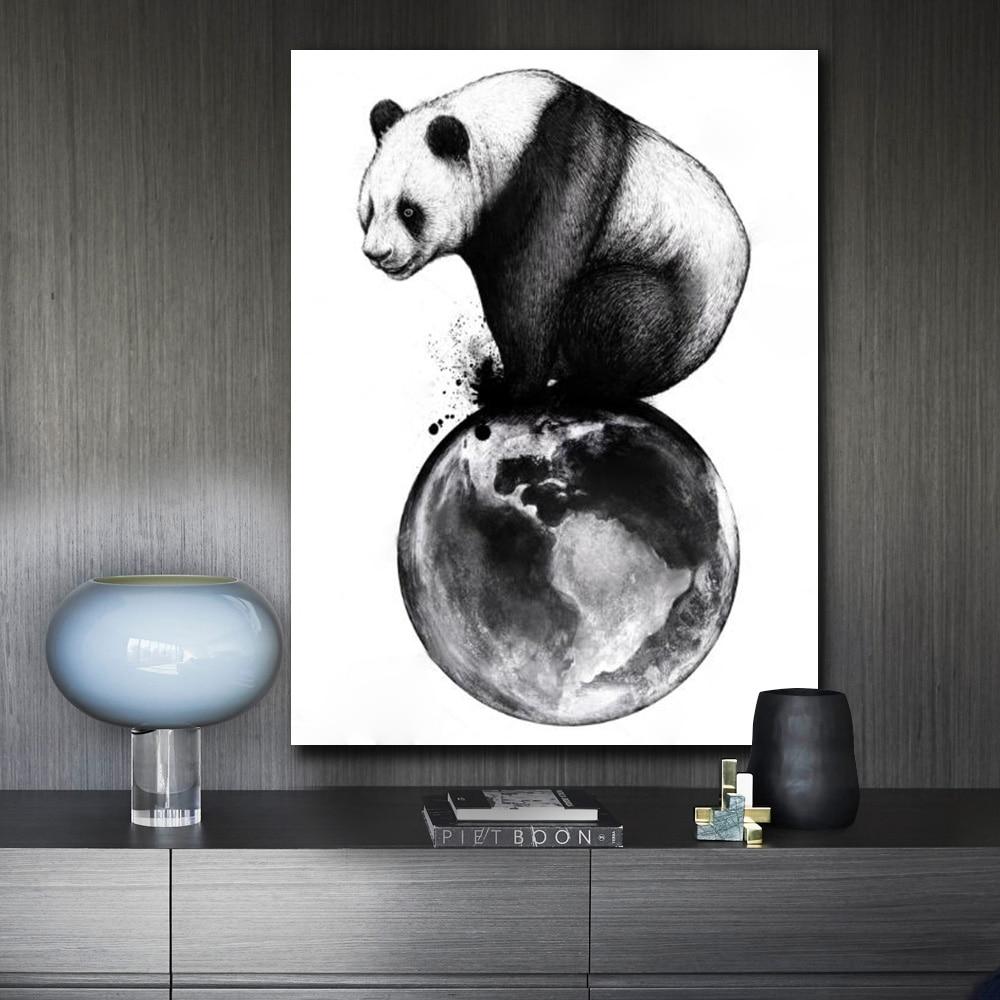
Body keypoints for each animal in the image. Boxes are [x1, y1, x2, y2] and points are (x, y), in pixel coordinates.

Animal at [358, 69, 749, 401]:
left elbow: (536, 285)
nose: (377, 254)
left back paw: (582, 384)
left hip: (670, 292)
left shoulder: (562, 171)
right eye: (370, 210)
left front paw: (509, 389)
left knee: (618, 310)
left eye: (409, 211)